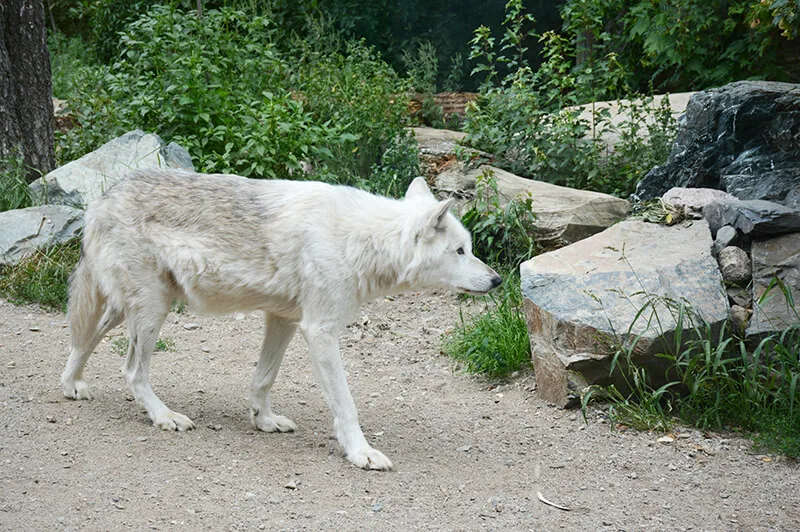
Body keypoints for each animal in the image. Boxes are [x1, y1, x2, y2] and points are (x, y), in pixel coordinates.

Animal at [61, 169, 500, 470]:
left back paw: (72, 385)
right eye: (460, 251)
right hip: (153, 311)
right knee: (132, 371)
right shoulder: (320, 332)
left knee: (82, 340)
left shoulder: (284, 320)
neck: (363, 240)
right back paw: (164, 416)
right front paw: (361, 453)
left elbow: (263, 379)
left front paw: (264, 421)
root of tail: (100, 200)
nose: (497, 279)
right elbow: (346, 404)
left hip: (129, 310)